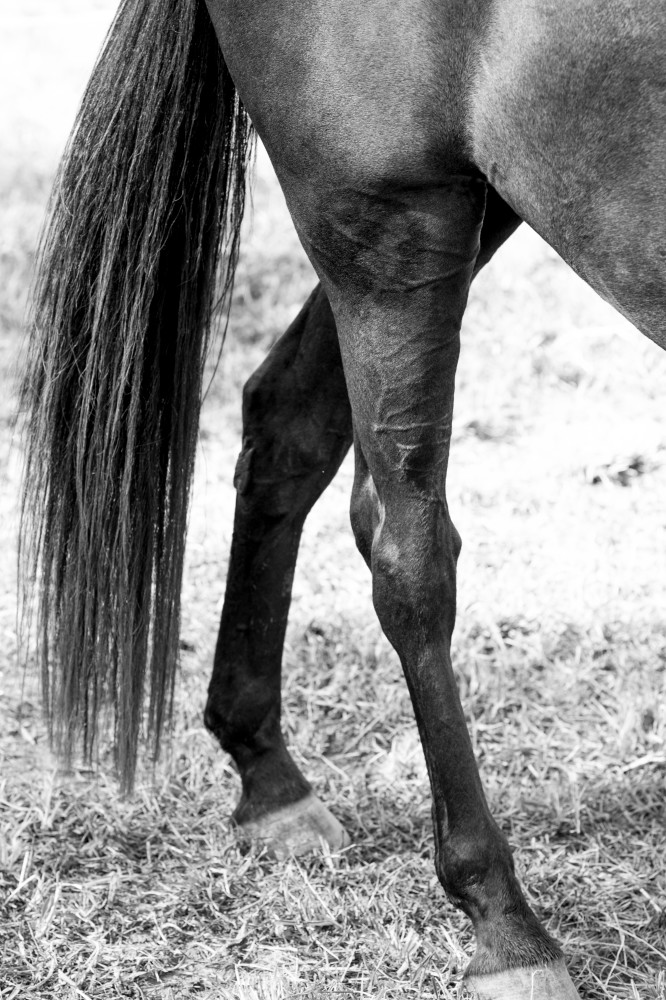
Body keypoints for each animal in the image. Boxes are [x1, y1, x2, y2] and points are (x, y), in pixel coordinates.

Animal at [20, 0, 665, 997]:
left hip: (473, 201)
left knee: (288, 421)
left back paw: (270, 783)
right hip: (383, 220)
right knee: (408, 556)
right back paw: (507, 929)